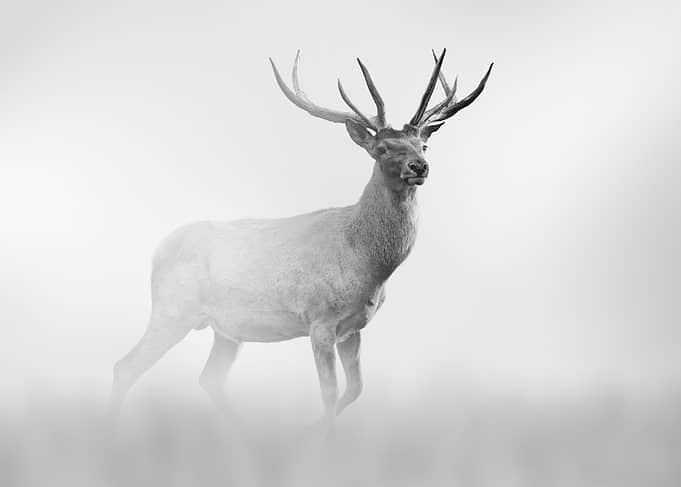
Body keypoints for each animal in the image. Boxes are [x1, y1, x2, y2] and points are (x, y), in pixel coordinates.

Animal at [110, 49, 492, 428]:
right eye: (382, 147)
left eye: (423, 144)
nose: (419, 166)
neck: (366, 264)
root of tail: (157, 250)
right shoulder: (319, 318)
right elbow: (330, 393)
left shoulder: (353, 327)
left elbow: (355, 390)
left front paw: (311, 431)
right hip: (173, 308)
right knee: (125, 367)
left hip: (225, 328)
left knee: (209, 379)